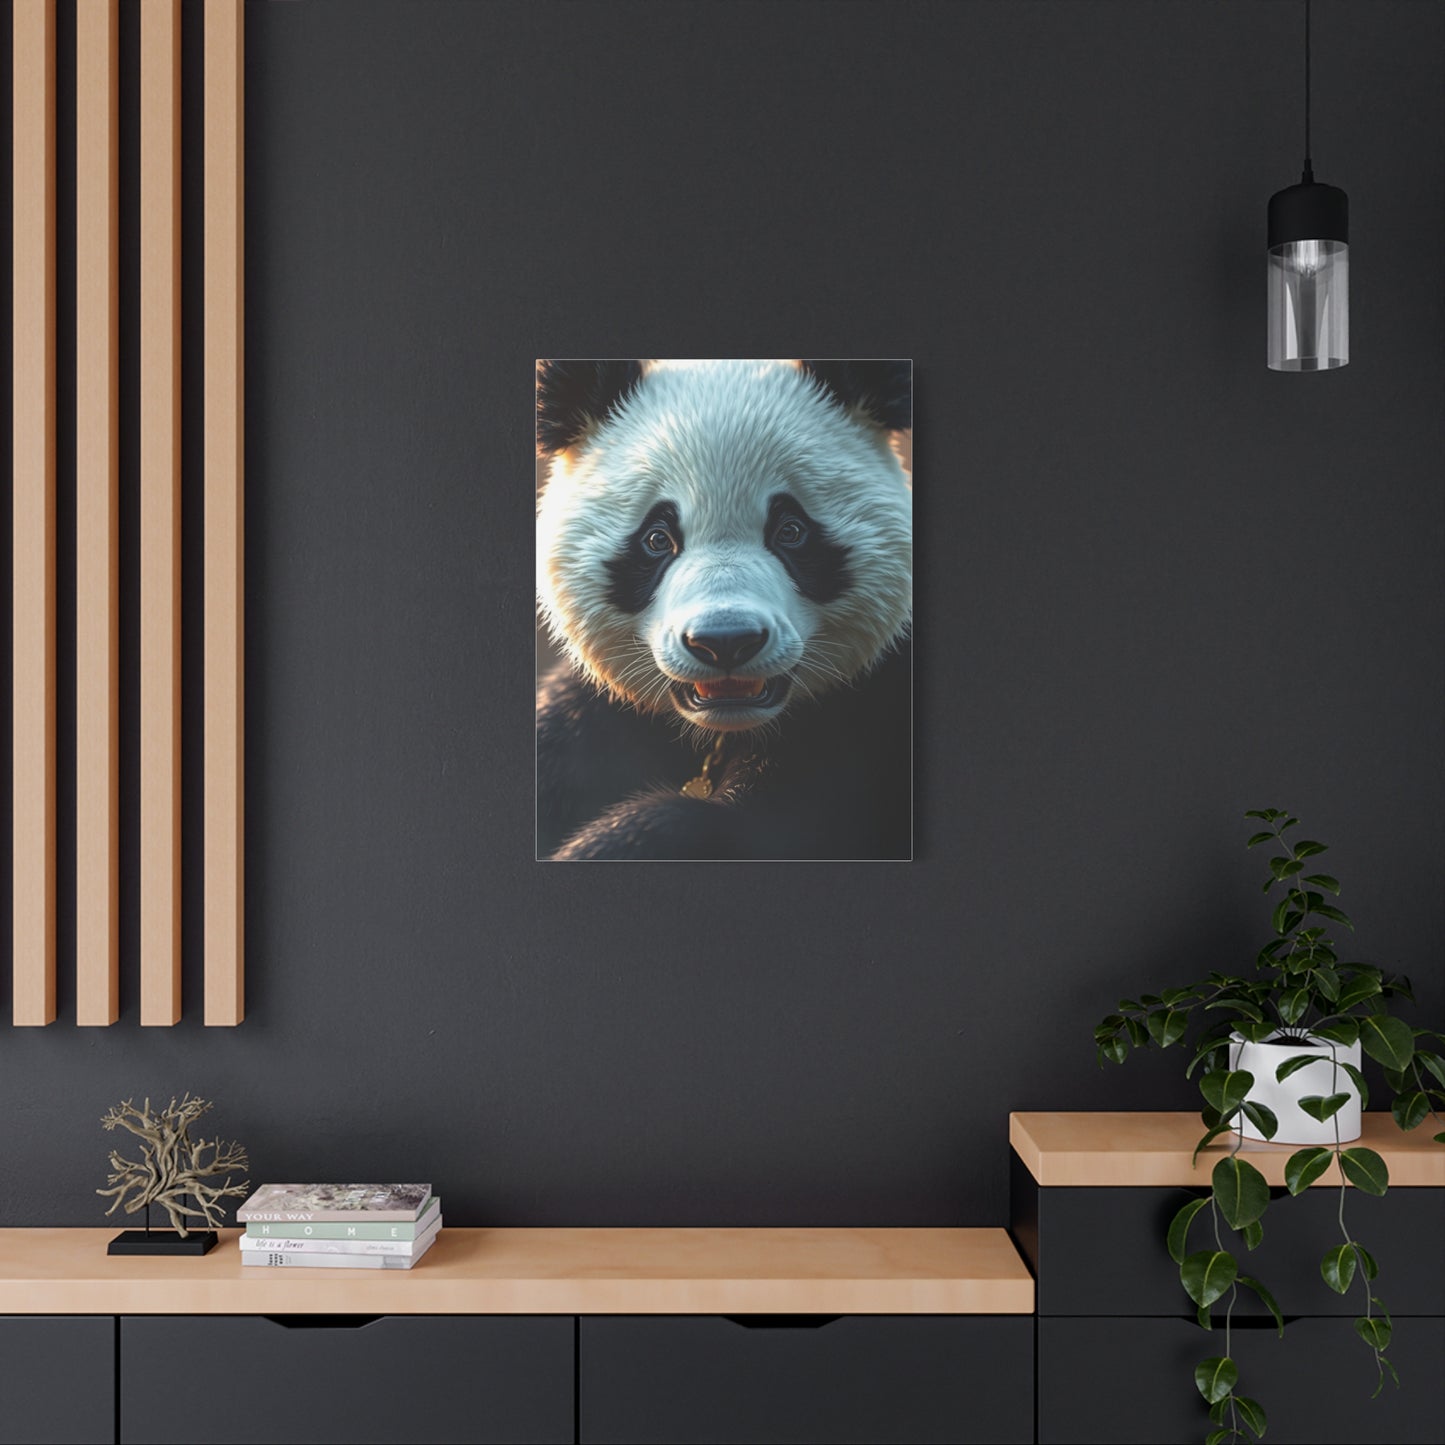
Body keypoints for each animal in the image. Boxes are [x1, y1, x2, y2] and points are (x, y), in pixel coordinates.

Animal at [536, 358, 912, 861]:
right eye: (657, 539)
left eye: (791, 530)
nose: (725, 641)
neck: (724, 729)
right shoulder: (598, 719)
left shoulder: (872, 722)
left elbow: (748, 831)